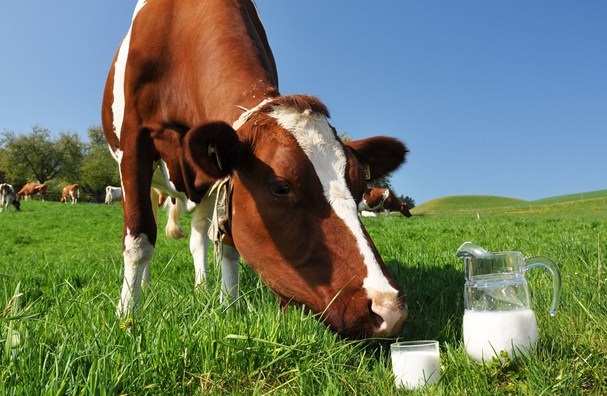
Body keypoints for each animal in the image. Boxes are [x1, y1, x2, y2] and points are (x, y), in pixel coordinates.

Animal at [102, 0, 410, 340]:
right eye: (280, 186)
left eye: (358, 187)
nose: (388, 308)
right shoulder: (133, 143)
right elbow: (139, 238)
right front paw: (127, 315)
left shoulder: (221, 178)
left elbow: (228, 244)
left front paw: (228, 307)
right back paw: (143, 288)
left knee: (199, 237)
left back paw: (201, 287)